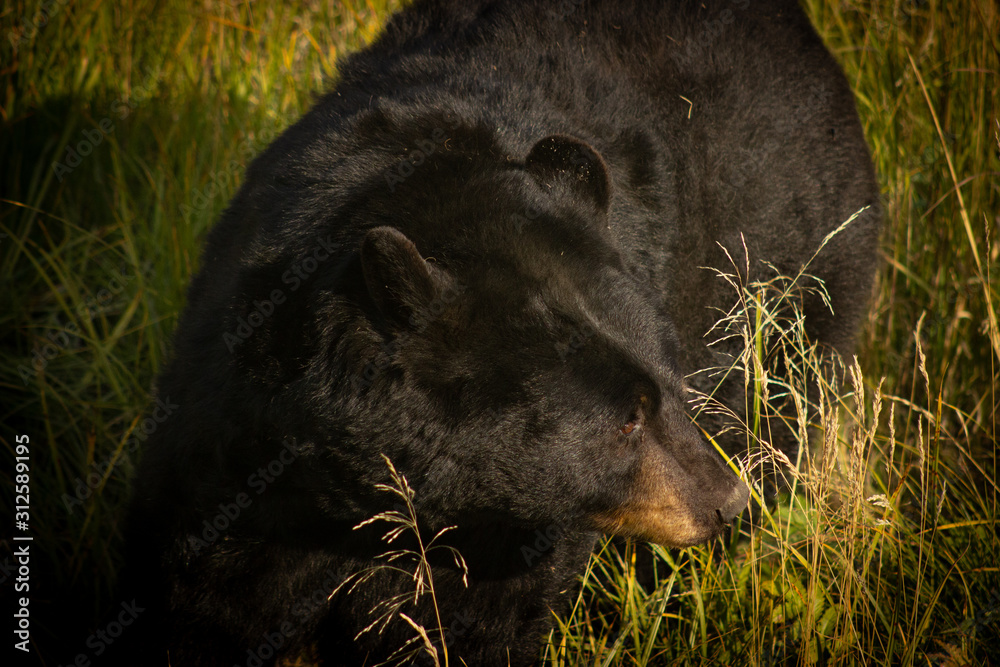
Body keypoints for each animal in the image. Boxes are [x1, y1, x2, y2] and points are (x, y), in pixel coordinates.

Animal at [120, 0, 880, 665]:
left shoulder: (504, 533)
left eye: (667, 388)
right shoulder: (239, 440)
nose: (720, 502)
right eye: (626, 418)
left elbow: (471, 628)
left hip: (787, 280)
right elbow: (207, 596)